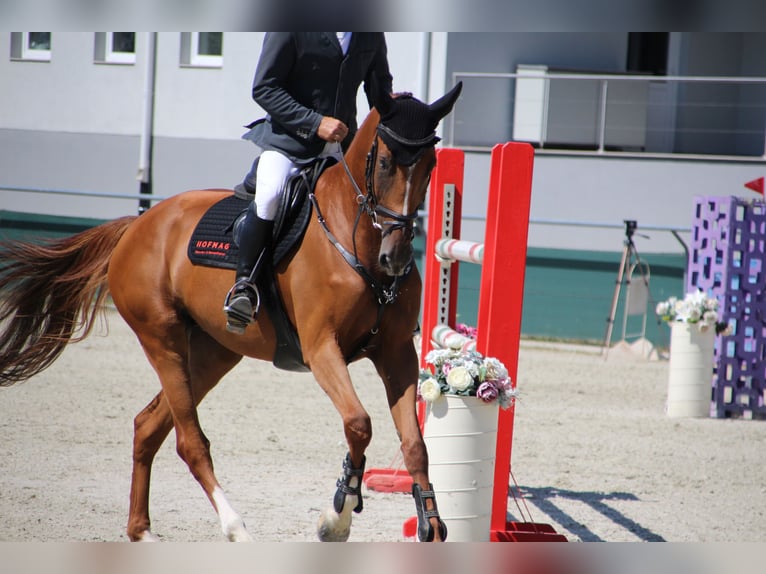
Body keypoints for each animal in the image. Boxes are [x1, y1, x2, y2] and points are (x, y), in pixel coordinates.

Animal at [0, 83, 462, 544]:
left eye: (430, 165)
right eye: (384, 163)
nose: (395, 259)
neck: (357, 244)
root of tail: (137, 225)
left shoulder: (396, 353)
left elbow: (414, 443)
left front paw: (431, 521)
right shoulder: (321, 349)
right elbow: (359, 423)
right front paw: (337, 518)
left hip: (213, 353)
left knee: (148, 426)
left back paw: (141, 531)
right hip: (163, 341)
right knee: (190, 442)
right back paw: (235, 527)